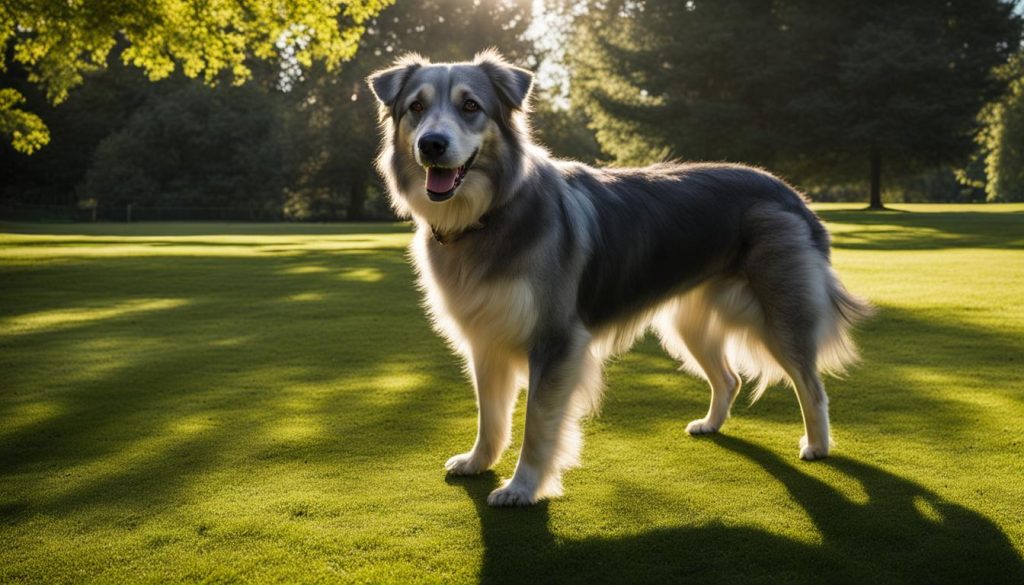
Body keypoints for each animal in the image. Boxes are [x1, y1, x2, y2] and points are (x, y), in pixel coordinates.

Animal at [368, 51, 872, 508]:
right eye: (416, 107)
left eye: (471, 106)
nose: (432, 144)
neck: (492, 212)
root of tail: (792, 194)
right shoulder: (485, 339)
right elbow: (490, 416)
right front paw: (478, 462)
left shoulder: (555, 341)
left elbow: (537, 423)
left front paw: (523, 486)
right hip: (687, 324)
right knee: (728, 377)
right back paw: (712, 424)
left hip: (780, 315)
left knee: (811, 384)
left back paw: (818, 445)